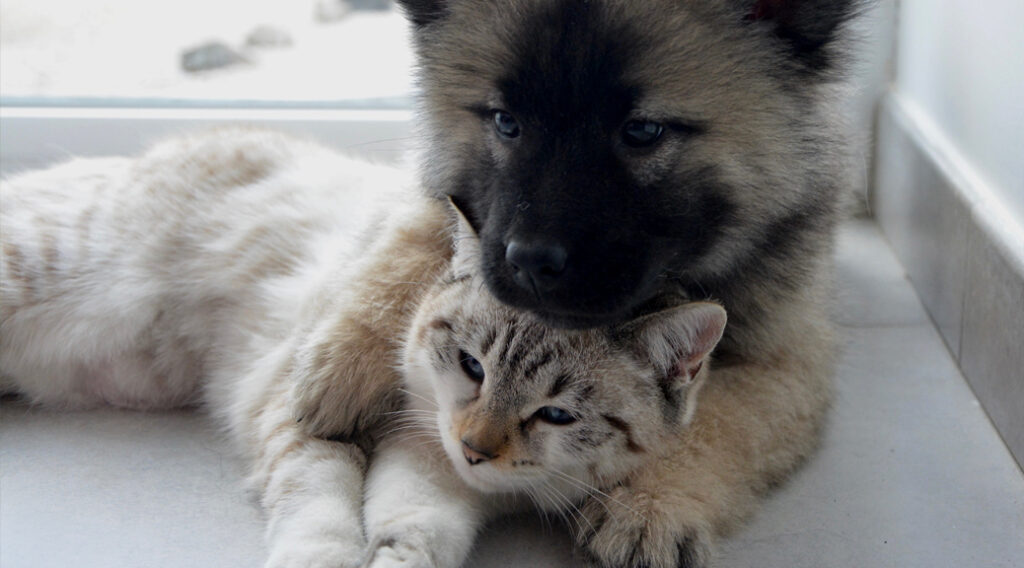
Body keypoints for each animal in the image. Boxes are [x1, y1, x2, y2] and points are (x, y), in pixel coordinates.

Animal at [0, 129, 724, 568]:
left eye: (557, 415)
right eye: (472, 366)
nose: (474, 448)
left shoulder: (436, 475)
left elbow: (414, 528)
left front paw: (397, 554)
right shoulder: (308, 416)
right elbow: (323, 500)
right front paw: (323, 556)